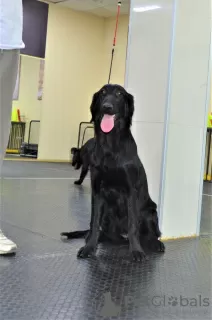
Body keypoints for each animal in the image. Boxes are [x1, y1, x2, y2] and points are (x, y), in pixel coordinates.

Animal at [61, 84, 164, 262]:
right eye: (103, 93)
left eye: (119, 94)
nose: (107, 107)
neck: (110, 146)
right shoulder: (97, 191)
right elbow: (94, 222)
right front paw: (89, 248)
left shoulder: (131, 191)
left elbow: (133, 224)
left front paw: (136, 251)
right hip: (108, 215)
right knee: (102, 232)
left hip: (150, 211)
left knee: (150, 234)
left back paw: (155, 243)